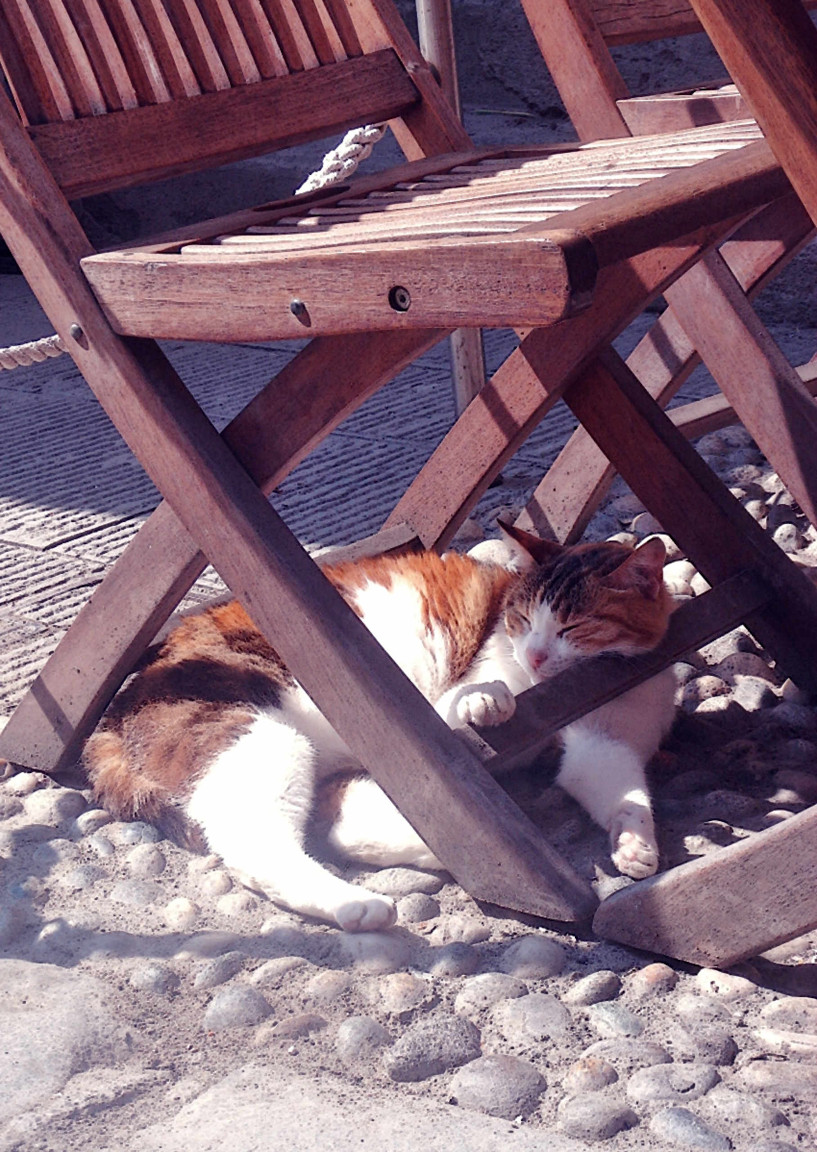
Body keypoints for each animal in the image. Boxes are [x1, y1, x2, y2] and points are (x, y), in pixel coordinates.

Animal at [82, 527, 672, 930]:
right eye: (521, 620)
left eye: (572, 626)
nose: (534, 656)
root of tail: (110, 717)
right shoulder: (436, 709)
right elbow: (469, 701)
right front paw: (487, 701)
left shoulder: (606, 742)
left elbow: (619, 788)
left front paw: (635, 844)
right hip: (259, 737)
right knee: (254, 845)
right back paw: (356, 904)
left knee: (334, 822)